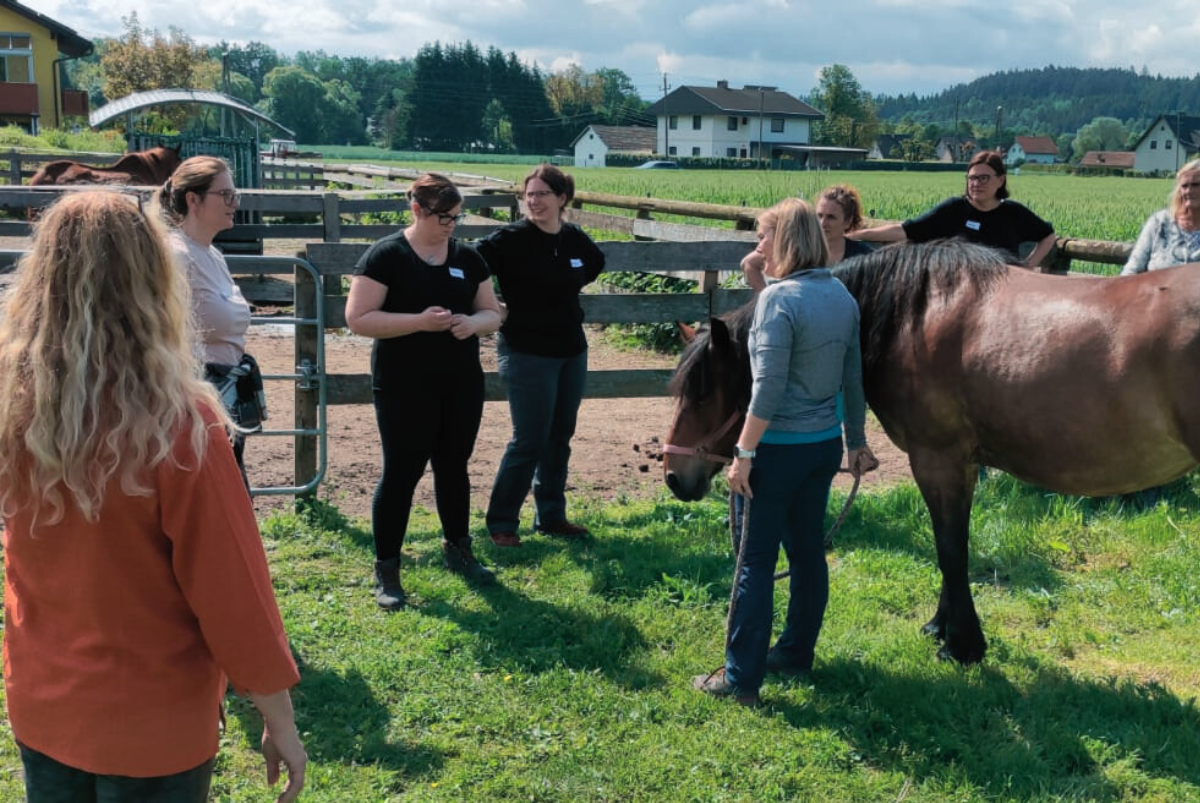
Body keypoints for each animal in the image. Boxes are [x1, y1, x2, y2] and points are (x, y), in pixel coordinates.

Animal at [662, 242, 1200, 662]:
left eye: (703, 391)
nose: (673, 474)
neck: (912, 317)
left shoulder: (937, 460)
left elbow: (950, 549)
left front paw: (962, 643)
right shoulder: (961, 464)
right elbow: (953, 544)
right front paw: (942, 627)